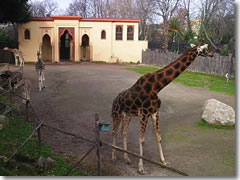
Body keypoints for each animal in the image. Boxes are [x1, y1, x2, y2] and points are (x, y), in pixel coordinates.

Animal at [110, 41, 214, 174]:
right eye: (205, 48)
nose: (212, 53)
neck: (157, 86)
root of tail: (114, 100)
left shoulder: (155, 112)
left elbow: (158, 137)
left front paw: (163, 162)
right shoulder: (144, 114)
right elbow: (141, 139)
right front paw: (141, 168)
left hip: (127, 115)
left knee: (123, 132)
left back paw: (127, 158)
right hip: (116, 113)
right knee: (114, 131)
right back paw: (113, 156)